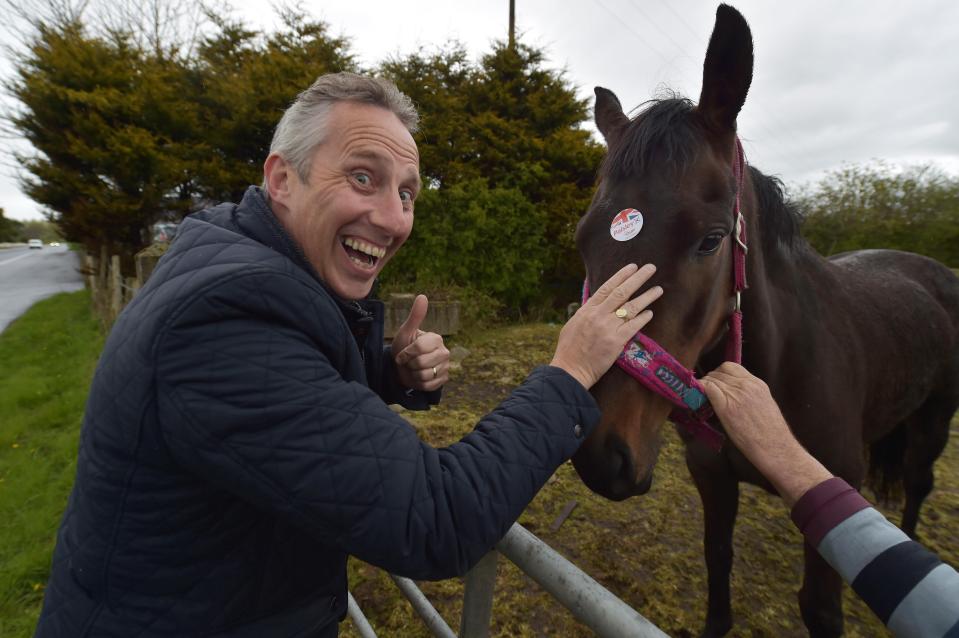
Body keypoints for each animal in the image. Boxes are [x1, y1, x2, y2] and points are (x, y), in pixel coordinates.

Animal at [568, 5, 959, 638]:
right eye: (584, 239)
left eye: (710, 240)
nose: (603, 456)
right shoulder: (710, 474)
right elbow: (717, 557)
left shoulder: (833, 487)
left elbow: (820, 607)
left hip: (936, 418)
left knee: (918, 486)